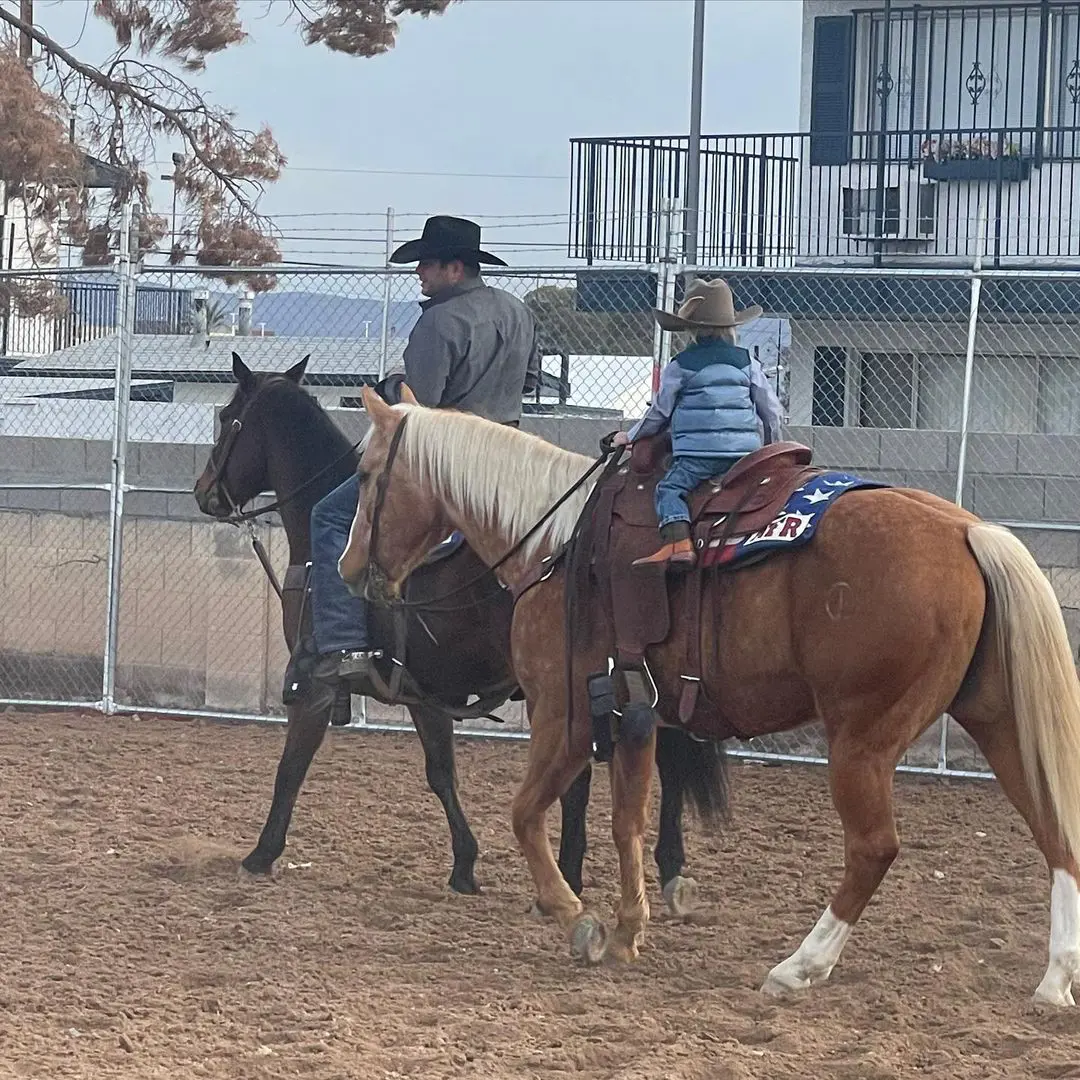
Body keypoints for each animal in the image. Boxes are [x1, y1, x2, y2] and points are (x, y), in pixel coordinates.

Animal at [191, 354, 730, 902]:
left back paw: (579, 873)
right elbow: (442, 772)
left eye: (227, 418)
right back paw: (652, 868)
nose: (203, 493)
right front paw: (465, 864)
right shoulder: (424, 692)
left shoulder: (317, 683)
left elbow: (293, 766)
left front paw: (261, 853)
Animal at [341, 384, 1080, 1006]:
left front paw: (576, 917)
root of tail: (967, 531)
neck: (557, 542)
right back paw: (1055, 979)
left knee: (874, 848)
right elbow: (627, 822)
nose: (349, 571)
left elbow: (526, 815)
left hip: (861, 739)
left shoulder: (564, 714)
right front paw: (629, 927)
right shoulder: (635, 719)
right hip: (999, 722)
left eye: (368, 473)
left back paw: (799, 967)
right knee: (1054, 829)